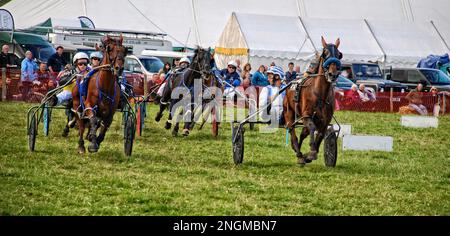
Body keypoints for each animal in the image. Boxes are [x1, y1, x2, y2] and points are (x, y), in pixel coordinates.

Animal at [284, 37, 342, 166]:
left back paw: (300, 153)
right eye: (324, 54)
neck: (320, 94)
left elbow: (320, 134)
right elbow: (312, 128)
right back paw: (298, 153)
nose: (332, 74)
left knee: (302, 133)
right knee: (292, 130)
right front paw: (311, 151)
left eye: (339, 55)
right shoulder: (306, 115)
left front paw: (311, 154)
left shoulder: (325, 120)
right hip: (289, 112)